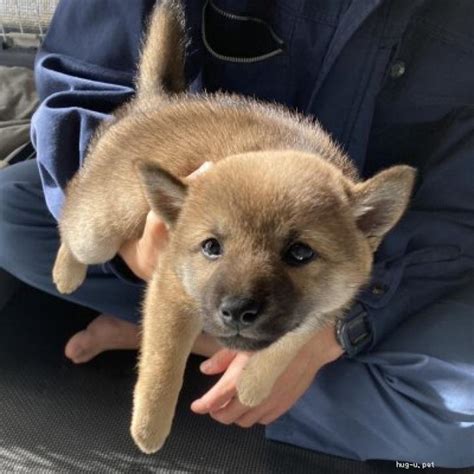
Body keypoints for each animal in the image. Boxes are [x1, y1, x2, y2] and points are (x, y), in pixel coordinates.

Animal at [51, 0, 414, 454]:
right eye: (211, 247)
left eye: (300, 252)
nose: (238, 310)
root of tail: (157, 101)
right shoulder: (170, 291)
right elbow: (162, 366)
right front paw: (149, 428)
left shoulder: (328, 305)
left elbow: (287, 345)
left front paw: (253, 385)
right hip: (97, 230)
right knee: (70, 217)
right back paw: (65, 271)